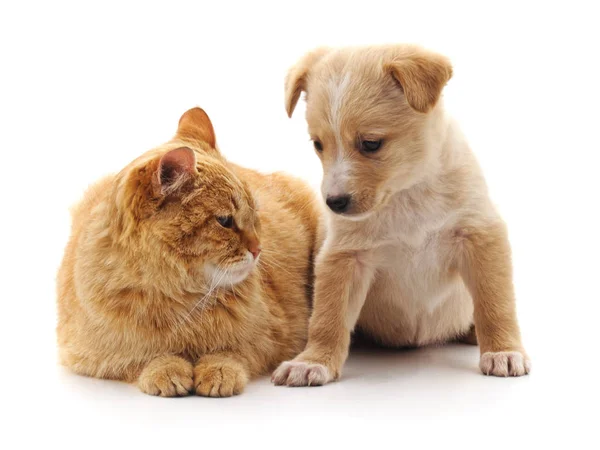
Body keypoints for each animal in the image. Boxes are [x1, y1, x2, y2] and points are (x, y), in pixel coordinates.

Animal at [56, 108, 324, 398]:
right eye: (225, 221)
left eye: (255, 214)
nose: (258, 249)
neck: (178, 299)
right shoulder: (92, 353)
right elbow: (141, 358)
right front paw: (165, 368)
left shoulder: (272, 336)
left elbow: (231, 351)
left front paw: (219, 370)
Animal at [272, 44, 528, 384]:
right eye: (318, 144)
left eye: (371, 144)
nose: (333, 203)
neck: (407, 195)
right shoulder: (345, 256)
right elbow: (329, 316)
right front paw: (314, 360)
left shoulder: (480, 234)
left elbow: (494, 302)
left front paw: (503, 351)